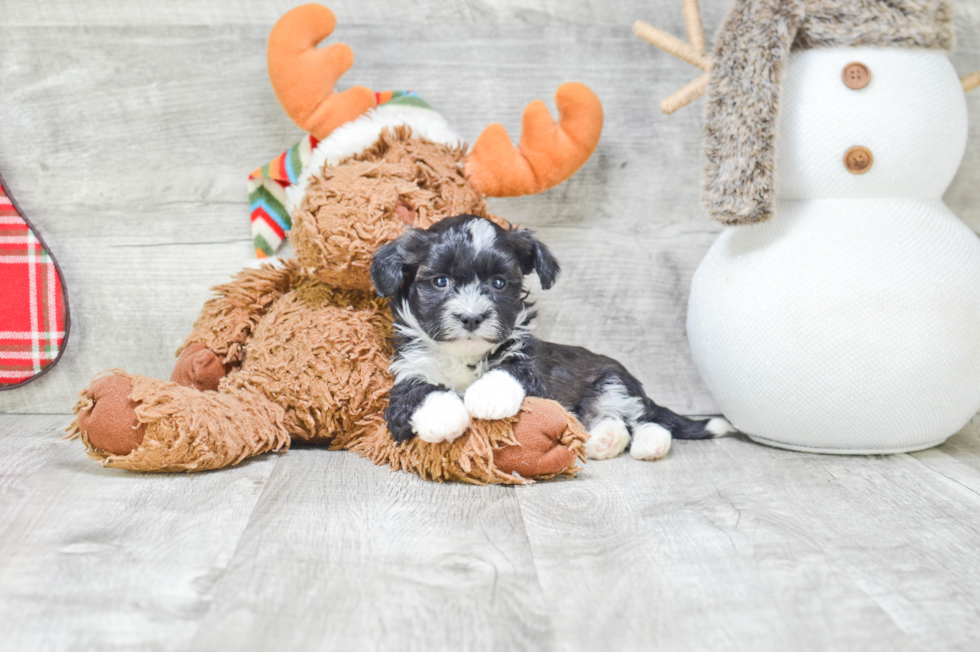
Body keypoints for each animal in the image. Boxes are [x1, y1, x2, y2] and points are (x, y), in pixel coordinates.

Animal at [372, 216, 732, 460]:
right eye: (440, 281)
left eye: (499, 283)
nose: (472, 317)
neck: (466, 356)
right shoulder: (409, 369)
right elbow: (417, 390)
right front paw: (442, 415)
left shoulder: (533, 370)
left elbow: (512, 369)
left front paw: (487, 395)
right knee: (615, 422)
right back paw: (602, 441)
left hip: (614, 381)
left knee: (642, 419)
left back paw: (649, 443)